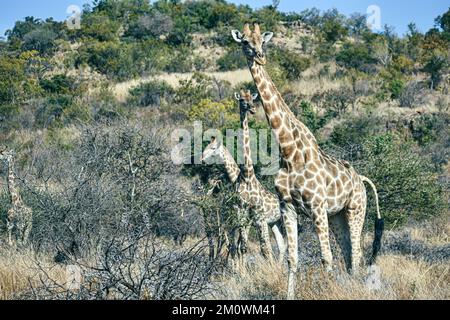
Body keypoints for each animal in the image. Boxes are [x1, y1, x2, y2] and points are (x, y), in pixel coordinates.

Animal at [203, 90, 286, 262]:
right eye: (242, 100)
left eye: (252, 99)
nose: (252, 109)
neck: (246, 176)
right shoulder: (242, 214)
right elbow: (242, 247)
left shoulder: (257, 216)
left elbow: (263, 248)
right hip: (273, 223)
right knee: (280, 246)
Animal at [232, 23, 384, 300]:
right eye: (245, 42)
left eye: (263, 41)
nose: (260, 56)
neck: (289, 152)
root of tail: (361, 179)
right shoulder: (288, 208)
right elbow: (292, 259)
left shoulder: (316, 207)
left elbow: (326, 259)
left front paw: (329, 291)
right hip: (337, 216)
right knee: (348, 254)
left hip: (355, 209)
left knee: (356, 254)